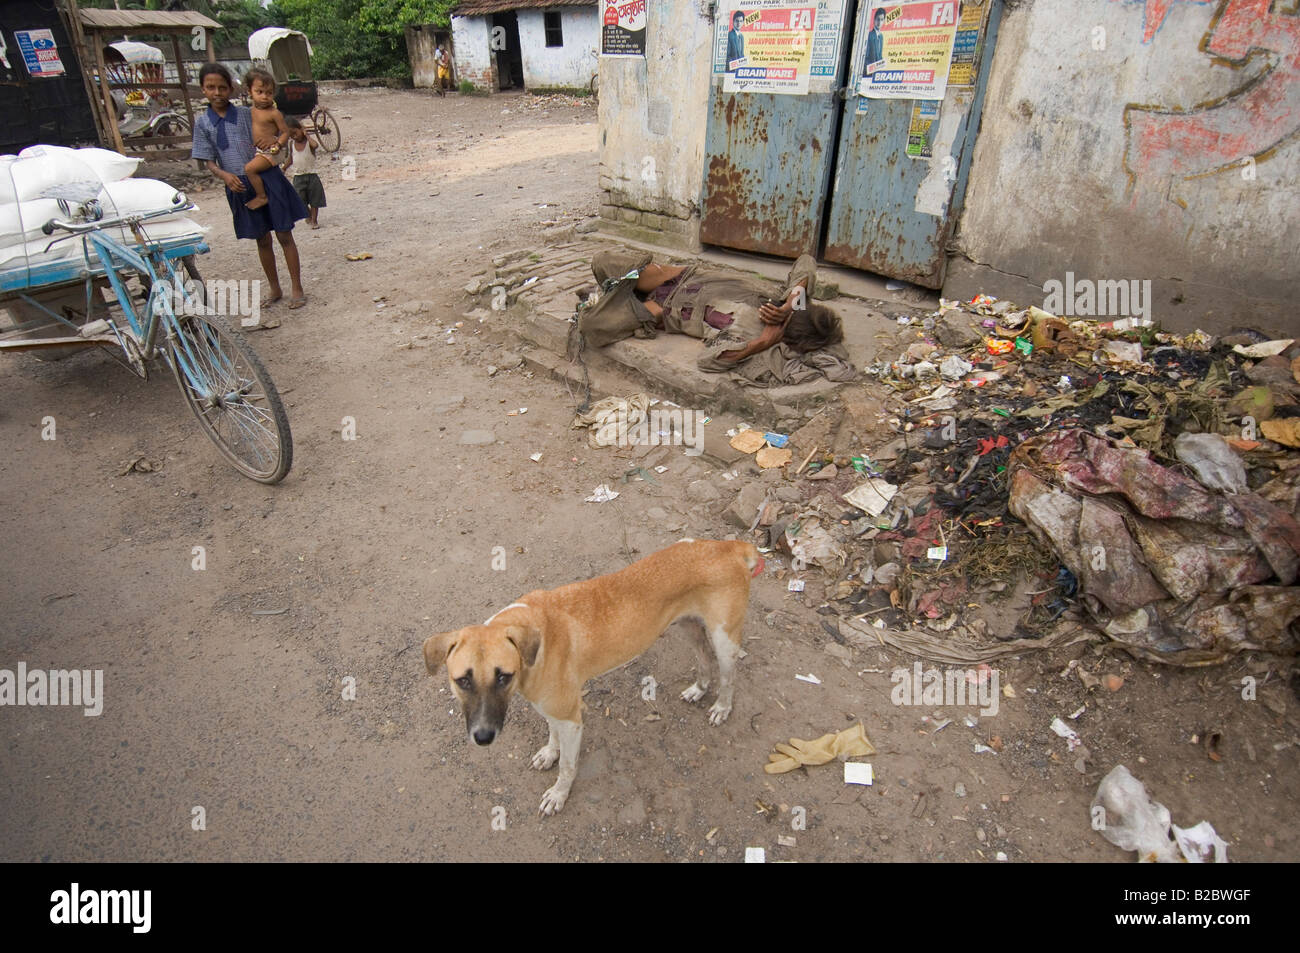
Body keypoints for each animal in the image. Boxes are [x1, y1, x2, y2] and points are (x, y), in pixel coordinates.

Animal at [426, 538, 759, 816]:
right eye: (462, 680)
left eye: (502, 676)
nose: (483, 737)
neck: (533, 634)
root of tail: (729, 546)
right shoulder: (553, 707)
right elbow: (552, 734)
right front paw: (549, 753)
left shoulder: (572, 719)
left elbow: (568, 765)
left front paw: (558, 795)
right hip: (689, 626)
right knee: (704, 657)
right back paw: (699, 689)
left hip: (724, 639)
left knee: (728, 677)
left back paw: (721, 708)